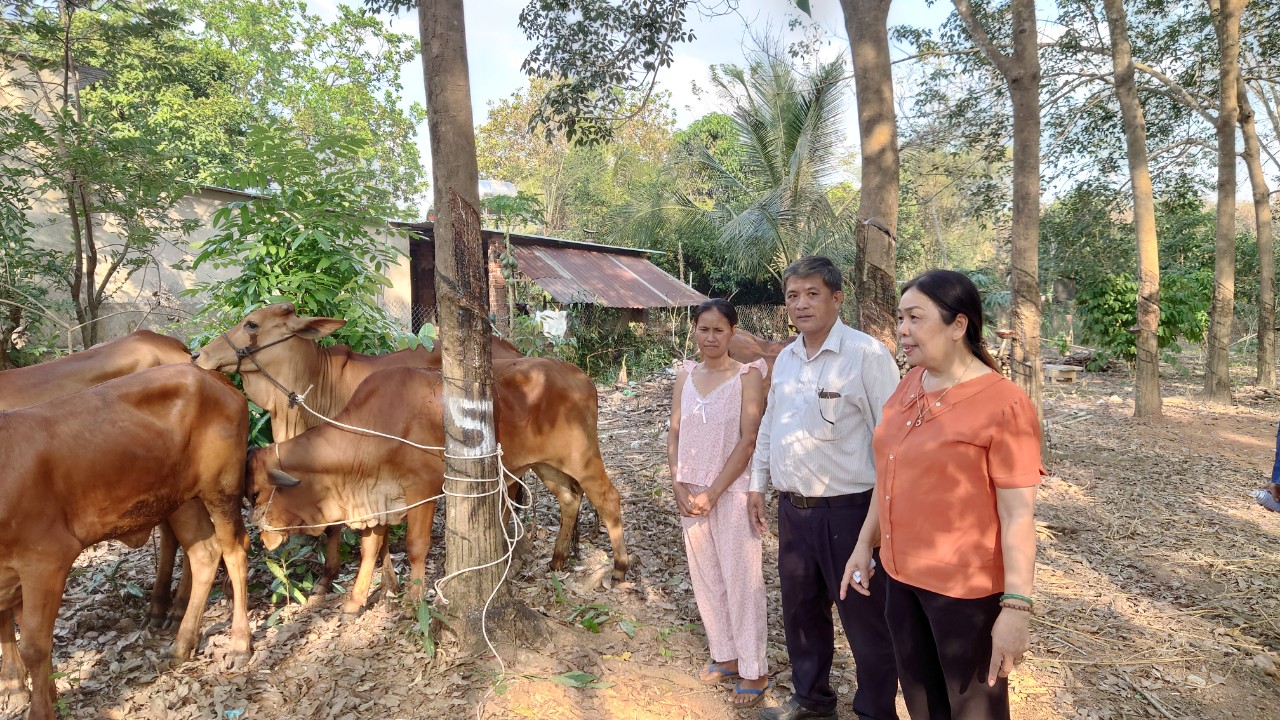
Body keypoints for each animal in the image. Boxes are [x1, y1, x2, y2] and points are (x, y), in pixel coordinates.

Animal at [0, 363, 250, 717]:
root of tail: (211, 376)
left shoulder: (46, 558)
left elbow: (35, 647)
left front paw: (40, 711)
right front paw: (46, 695)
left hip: (222, 485)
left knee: (234, 551)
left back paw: (240, 644)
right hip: (182, 500)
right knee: (205, 552)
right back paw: (181, 644)